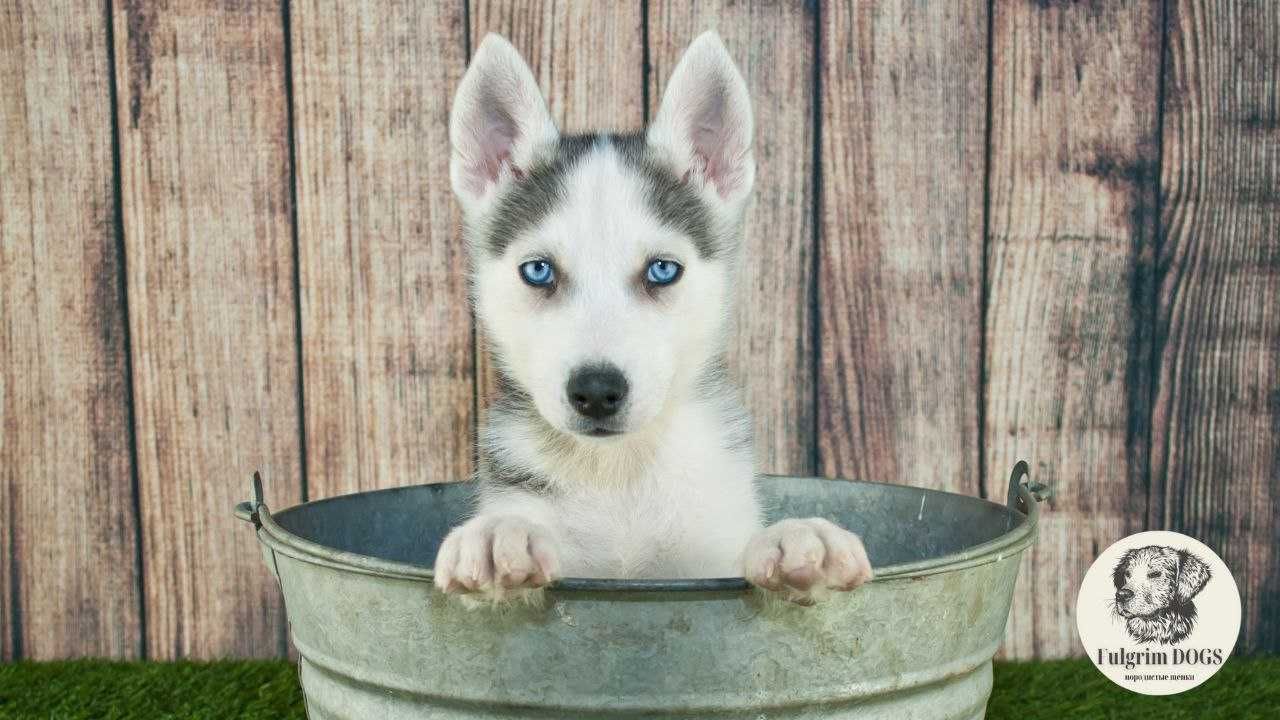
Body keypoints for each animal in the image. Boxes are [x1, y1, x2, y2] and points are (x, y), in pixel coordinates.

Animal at [435, 30, 875, 599]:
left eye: (663, 270)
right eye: (537, 271)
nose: (596, 391)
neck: (620, 472)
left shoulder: (710, 546)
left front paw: (796, 537)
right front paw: (499, 534)